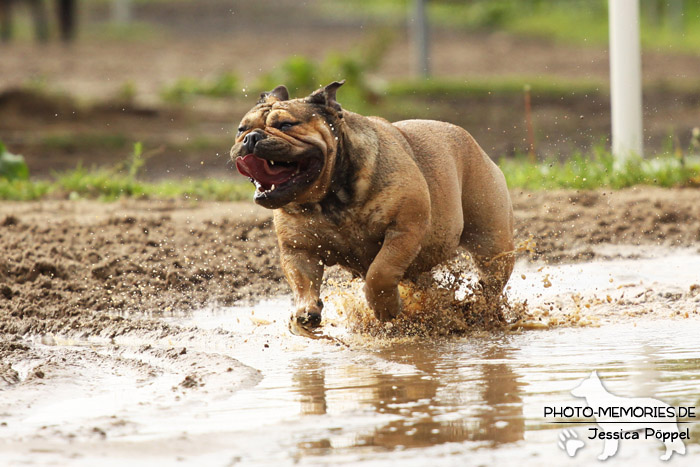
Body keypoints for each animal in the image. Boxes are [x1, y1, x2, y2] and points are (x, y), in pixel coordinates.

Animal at [231, 80, 516, 330]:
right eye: (241, 129)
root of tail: (469, 139)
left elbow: (381, 271)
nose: (251, 137)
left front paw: (385, 308)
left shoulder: (404, 229)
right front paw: (305, 311)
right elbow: (303, 281)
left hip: (492, 241)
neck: (328, 198)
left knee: (492, 279)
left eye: (286, 124)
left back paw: (483, 309)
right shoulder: (299, 249)